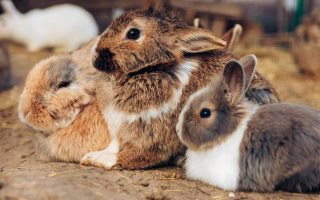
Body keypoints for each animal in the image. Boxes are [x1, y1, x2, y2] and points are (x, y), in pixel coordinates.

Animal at [79, 1, 278, 170]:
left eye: (133, 33)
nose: (95, 54)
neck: (149, 70)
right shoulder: (119, 126)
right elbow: (114, 145)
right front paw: (91, 156)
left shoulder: (152, 135)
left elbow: (135, 155)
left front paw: (102, 160)